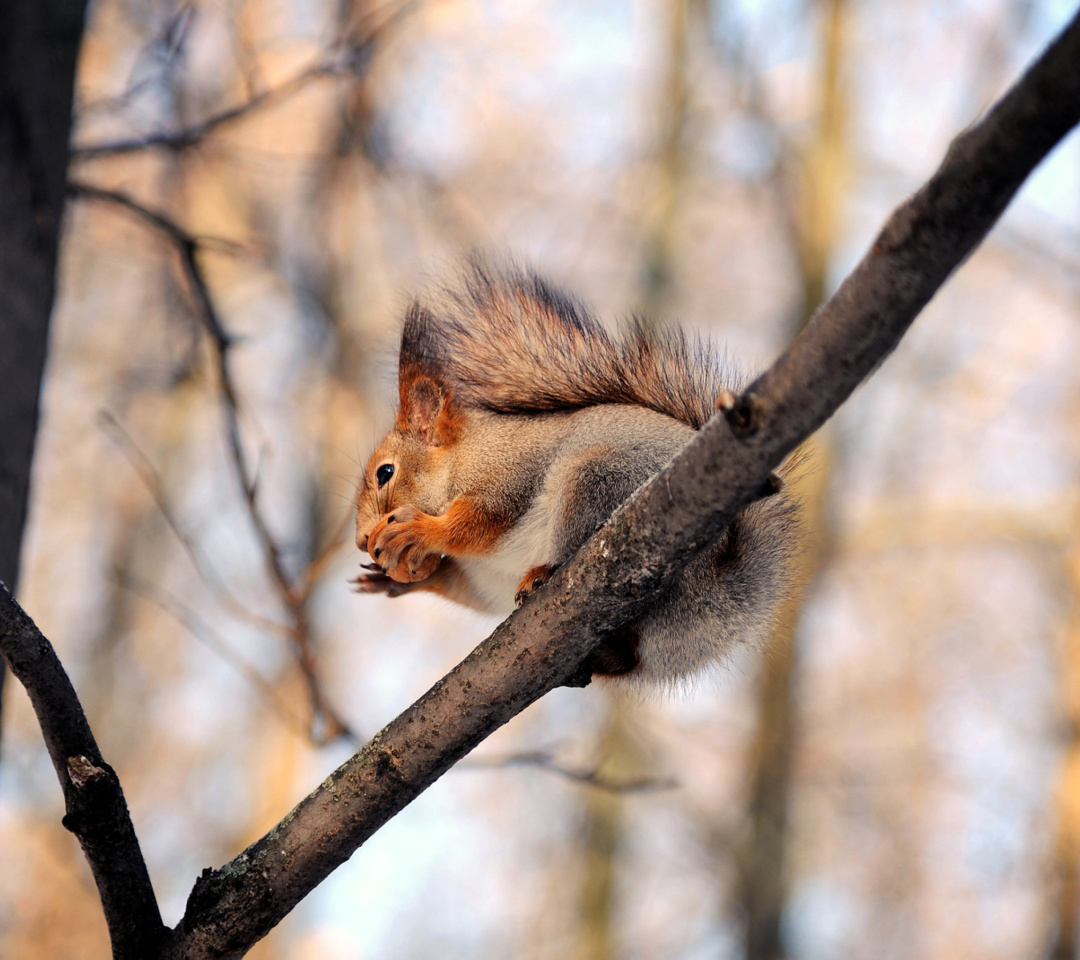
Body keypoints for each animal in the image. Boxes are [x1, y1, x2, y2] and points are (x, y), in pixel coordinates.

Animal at [349, 262, 799, 682]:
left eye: (385, 472)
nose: (360, 541)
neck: (462, 459)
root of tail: (721, 597)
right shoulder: (484, 578)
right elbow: (465, 587)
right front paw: (395, 579)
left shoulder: (508, 476)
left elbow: (479, 523)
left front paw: (419, 530)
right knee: (627, 658)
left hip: (596, 482)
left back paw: (545, 573)